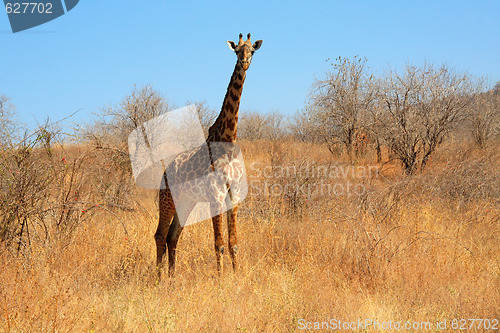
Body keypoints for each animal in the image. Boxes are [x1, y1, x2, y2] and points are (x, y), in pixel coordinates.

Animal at [154, 34, 264, 278]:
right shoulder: (216, 195)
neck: (228, 140)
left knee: (172, 236)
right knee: (159, 235)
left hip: (187, 200)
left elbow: (234, 243)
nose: (244, 63)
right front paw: (221, 279)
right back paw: (156, 279)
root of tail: (165, 172)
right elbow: (219, 243)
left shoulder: (234, 195)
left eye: (252, 50)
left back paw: (172, 278)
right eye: (237, 51)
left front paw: (236, 275)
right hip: (167, 199)